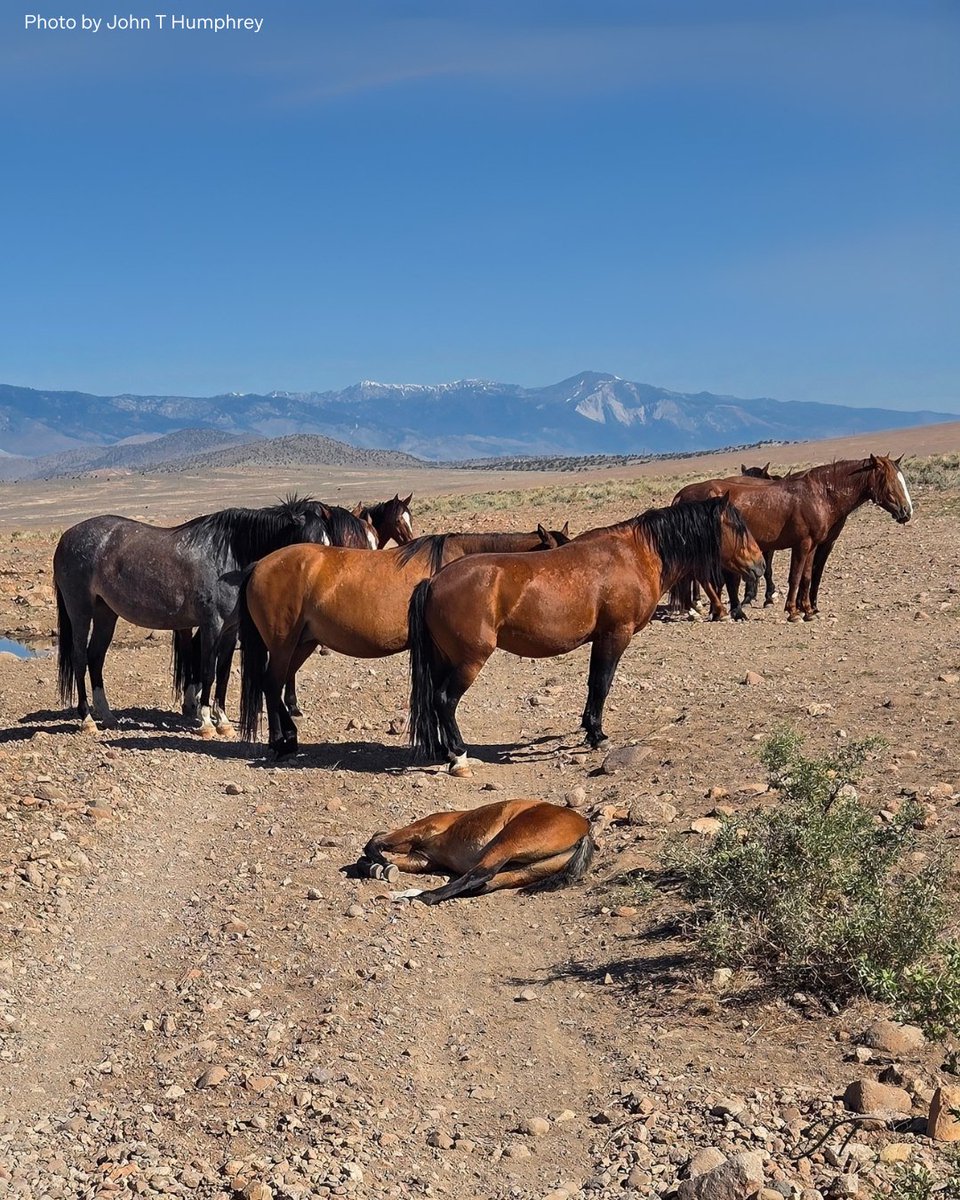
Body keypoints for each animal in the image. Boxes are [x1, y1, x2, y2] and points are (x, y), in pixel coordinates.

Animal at [54, 495, 341, 737]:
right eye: (309, 542)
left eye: (328, 543)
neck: (230, 556)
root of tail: (67, 537)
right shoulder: (211, 625)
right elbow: (207, 671)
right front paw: (205, 723)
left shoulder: (230, 630)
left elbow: (223, 674)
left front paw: (223, 722)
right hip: (80, 610)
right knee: (79, 658)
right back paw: (87, 719)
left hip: (106, 613)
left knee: (95, 657)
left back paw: (107, 715)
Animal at [238, 525, 573, 755]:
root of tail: (259, 566)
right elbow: (438, 697)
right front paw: (445, 749)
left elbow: (435, 695)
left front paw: (439, 747)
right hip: (283, 644)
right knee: (272, 684)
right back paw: (281, 742)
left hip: (303, 643)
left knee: (274, 684)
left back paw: (287, 738)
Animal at [361, 798, 594, 904]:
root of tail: (584, 830)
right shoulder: (422, 859)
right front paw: (380, 868)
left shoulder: (419, 830)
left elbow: (375, 843)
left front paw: (380, 865)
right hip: (526, 870)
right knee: (484, 884)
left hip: (509, 842)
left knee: (480, 874)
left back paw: (422, 896)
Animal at [407, 497, 764, 775]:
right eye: (738, 527)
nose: (760, 566)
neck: (635, 554)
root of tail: (434, 581)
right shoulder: (615, 635)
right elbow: (601, 684)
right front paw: (598, 735)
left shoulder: (601, 639)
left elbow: (594, 684)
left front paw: (590, 730)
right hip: (469, 661)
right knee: (445, 700)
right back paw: (458, 755)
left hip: (445, 659)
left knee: (434, 700)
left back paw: (443, 750)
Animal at [672, 455, 912, 622]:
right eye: (891, 481)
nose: (906, 511)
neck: (819, 495)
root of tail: (682, 494)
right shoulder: (802, 545)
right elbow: (795, 577)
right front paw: (793, 611)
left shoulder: (814, 546)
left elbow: (807, 576)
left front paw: (808, 610)